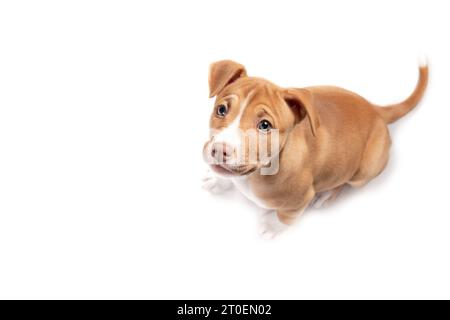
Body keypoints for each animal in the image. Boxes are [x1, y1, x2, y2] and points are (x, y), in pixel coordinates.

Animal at [202, 60, 428, 238]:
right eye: (221, 110)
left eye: (265, 125)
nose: (219, 150)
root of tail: (376, 110)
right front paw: (218, 181)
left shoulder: (299, 200)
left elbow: (286, 216)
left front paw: (271, 225)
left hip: (363, 172)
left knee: (343, 182)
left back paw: (325, 195)